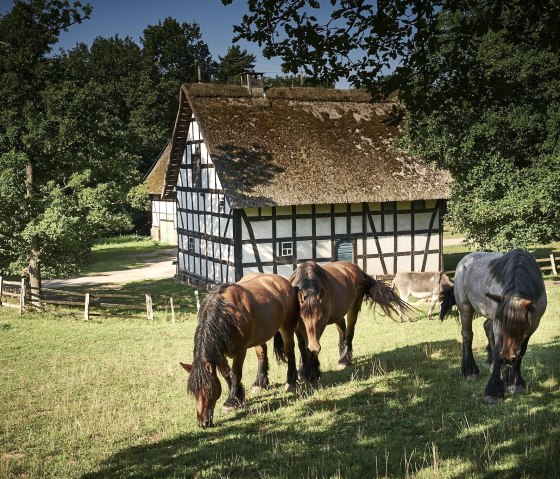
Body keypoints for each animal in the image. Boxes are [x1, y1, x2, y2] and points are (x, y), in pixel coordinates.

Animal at [182, 274, 300, 428]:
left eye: (209, 389)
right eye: (194, 392)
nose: (203, 422)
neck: (226, 313)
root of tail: (283, 281)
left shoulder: (240, 350)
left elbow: (236, 373)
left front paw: (231, 402)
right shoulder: (219, 354)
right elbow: (227, 374)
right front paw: (239, 396)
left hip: (286, 327)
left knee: (289, 350)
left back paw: (290, 382)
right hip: (261, 335)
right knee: (261, 354)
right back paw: (259, 383)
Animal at [442, 251, 548, 404]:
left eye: (522, 328)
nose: (508, 358)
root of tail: (465, 260)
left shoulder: (532, 327)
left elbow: (521, 352)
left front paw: (515, 382)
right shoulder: (498, 325)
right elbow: (498, 352)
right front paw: (494, 391)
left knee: (486, 328)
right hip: (465, 307)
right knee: (467, 335)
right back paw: (470, 371)